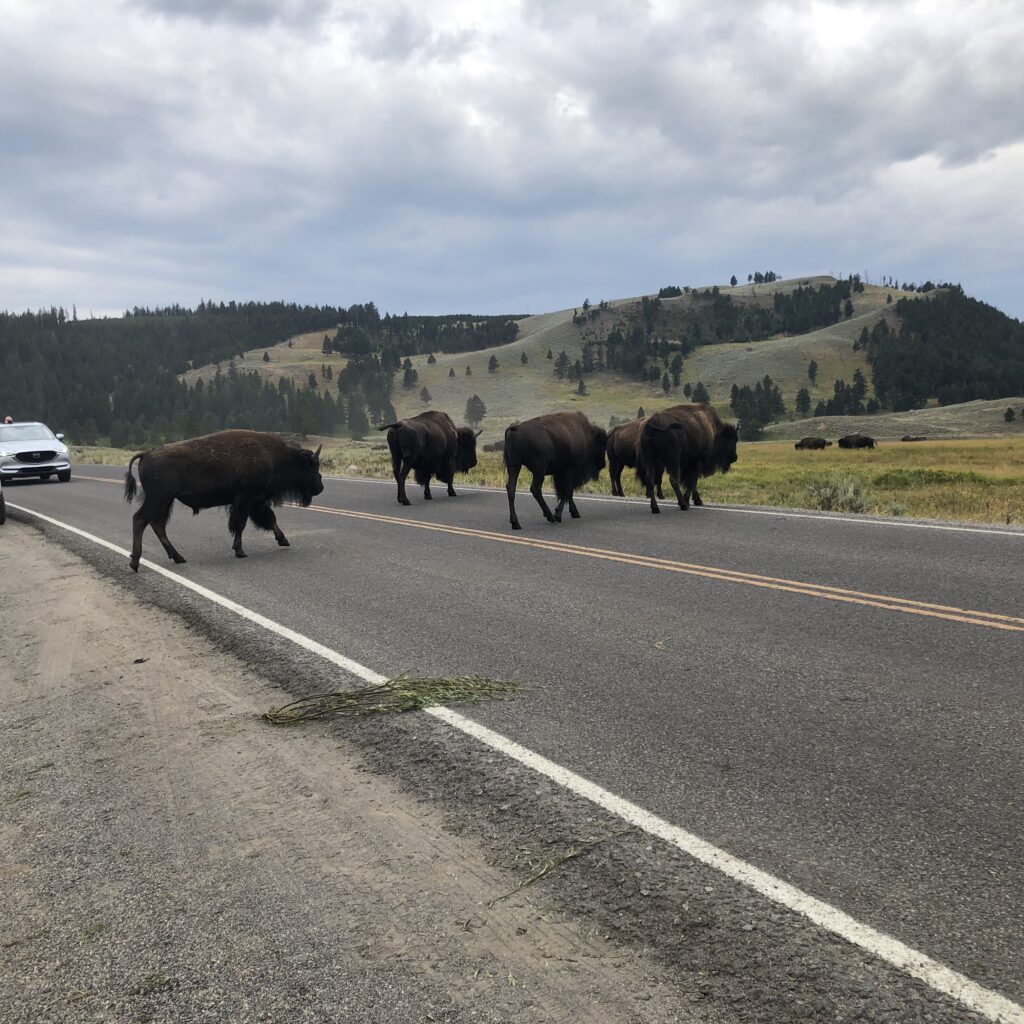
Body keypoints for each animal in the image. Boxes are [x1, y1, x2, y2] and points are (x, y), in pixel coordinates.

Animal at [124, 428, 323, 573]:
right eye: (312, 466)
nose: (320, 487)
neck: (272, 455)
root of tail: (146, 454)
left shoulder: (256, 501)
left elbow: (270, 519)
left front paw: (284, 540)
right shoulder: (247, 498)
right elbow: (241, 524)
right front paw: (240, 551)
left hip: (166, 501)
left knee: (157, 524)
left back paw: (178, 557)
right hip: (159, 499)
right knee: (140, 520)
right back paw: (135, 562)